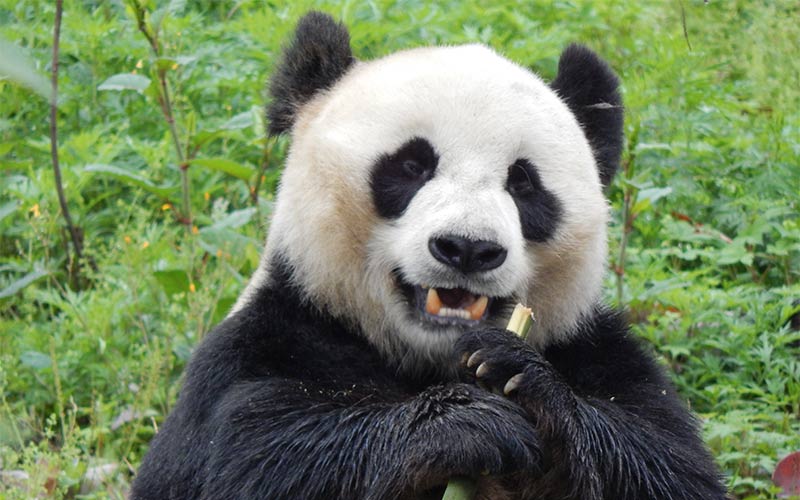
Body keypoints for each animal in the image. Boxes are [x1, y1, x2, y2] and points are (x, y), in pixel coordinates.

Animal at [131, 12, 728, 500]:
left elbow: (669, 464)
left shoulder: (600, 355)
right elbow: (255, 457)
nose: (467, 248)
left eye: (523, 183)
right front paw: (463, 426)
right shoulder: (267, 344)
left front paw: (521, 376)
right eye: (411, 165)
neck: (432, 361)